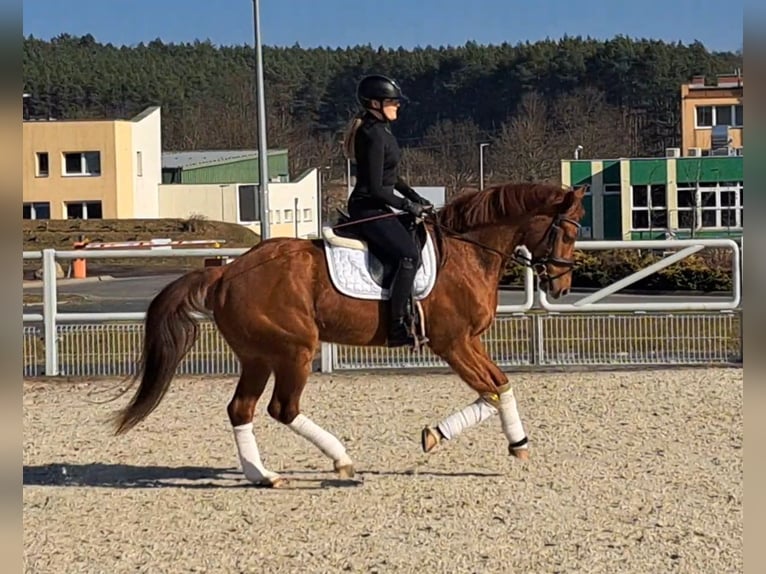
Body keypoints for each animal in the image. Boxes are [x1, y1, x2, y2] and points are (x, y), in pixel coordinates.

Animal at [111, 182, 584, 488]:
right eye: (567, 230)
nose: (560, 285)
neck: (468, 252)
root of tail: (226, 272)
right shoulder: (452, 343)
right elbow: (491, 388)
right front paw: (443, 437)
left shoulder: (470, 341)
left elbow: (499, 386)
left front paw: (511, 442)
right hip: (294, 350)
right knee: (283, 408)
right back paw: (340, 461)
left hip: (258, 357)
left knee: (241, 409)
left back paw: (263, 475)